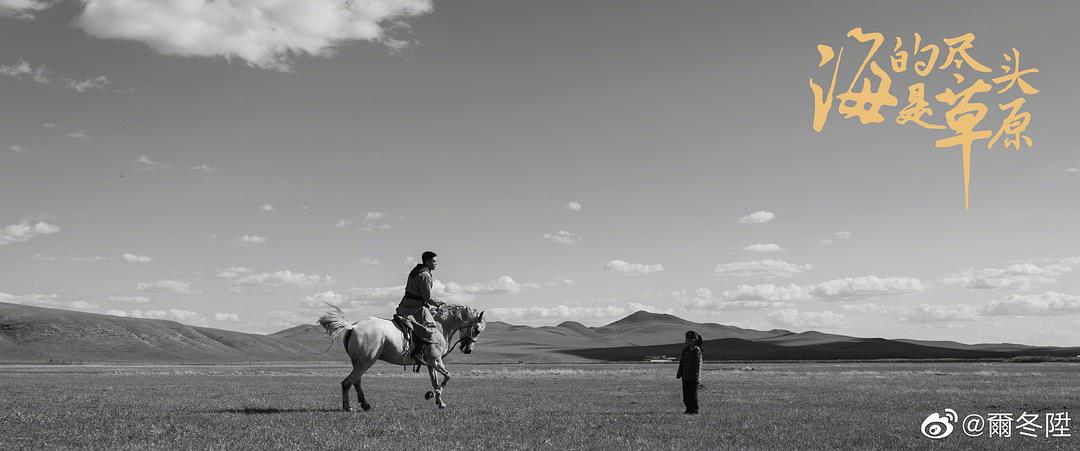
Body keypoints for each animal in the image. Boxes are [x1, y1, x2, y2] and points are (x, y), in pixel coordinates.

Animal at [315, 304, 486, 410]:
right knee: (347, 382)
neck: (439, 327)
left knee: (355, 381)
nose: (468, 350)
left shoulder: (431, 363)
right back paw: (348, 407)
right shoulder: (435, 361)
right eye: (477, 330)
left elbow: (436, 381)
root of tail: (353, 326)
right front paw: (432, 395)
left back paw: (364, 404)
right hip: (365, 362)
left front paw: (439, 402)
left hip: (360, 363)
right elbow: (447, 376)